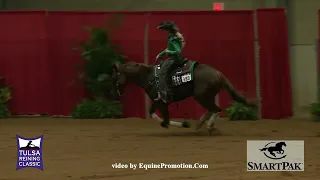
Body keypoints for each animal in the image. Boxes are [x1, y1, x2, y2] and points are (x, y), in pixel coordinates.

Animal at [111, 59, 256, 133]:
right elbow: (152, 113)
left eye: (116, 76)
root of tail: (218, 73)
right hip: (205, 96)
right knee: (212, 109)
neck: (150, 76)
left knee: (215, 109)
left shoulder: (162, 103)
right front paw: (184, 124)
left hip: (201, 96)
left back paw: (208, 125)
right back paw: (200, 124)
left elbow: (165, 120)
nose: (117, 92)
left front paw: (183, 124)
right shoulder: (156, 100)